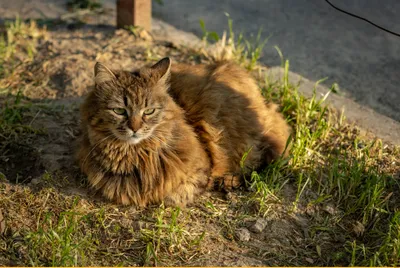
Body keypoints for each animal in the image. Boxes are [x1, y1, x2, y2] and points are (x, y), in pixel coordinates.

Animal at [77, 57, 290, 206]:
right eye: (119, 111)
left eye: (149, 111)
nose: (134, 128)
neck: (136, 155)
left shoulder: (200, 170)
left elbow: (174, 195)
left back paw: (230, 181)